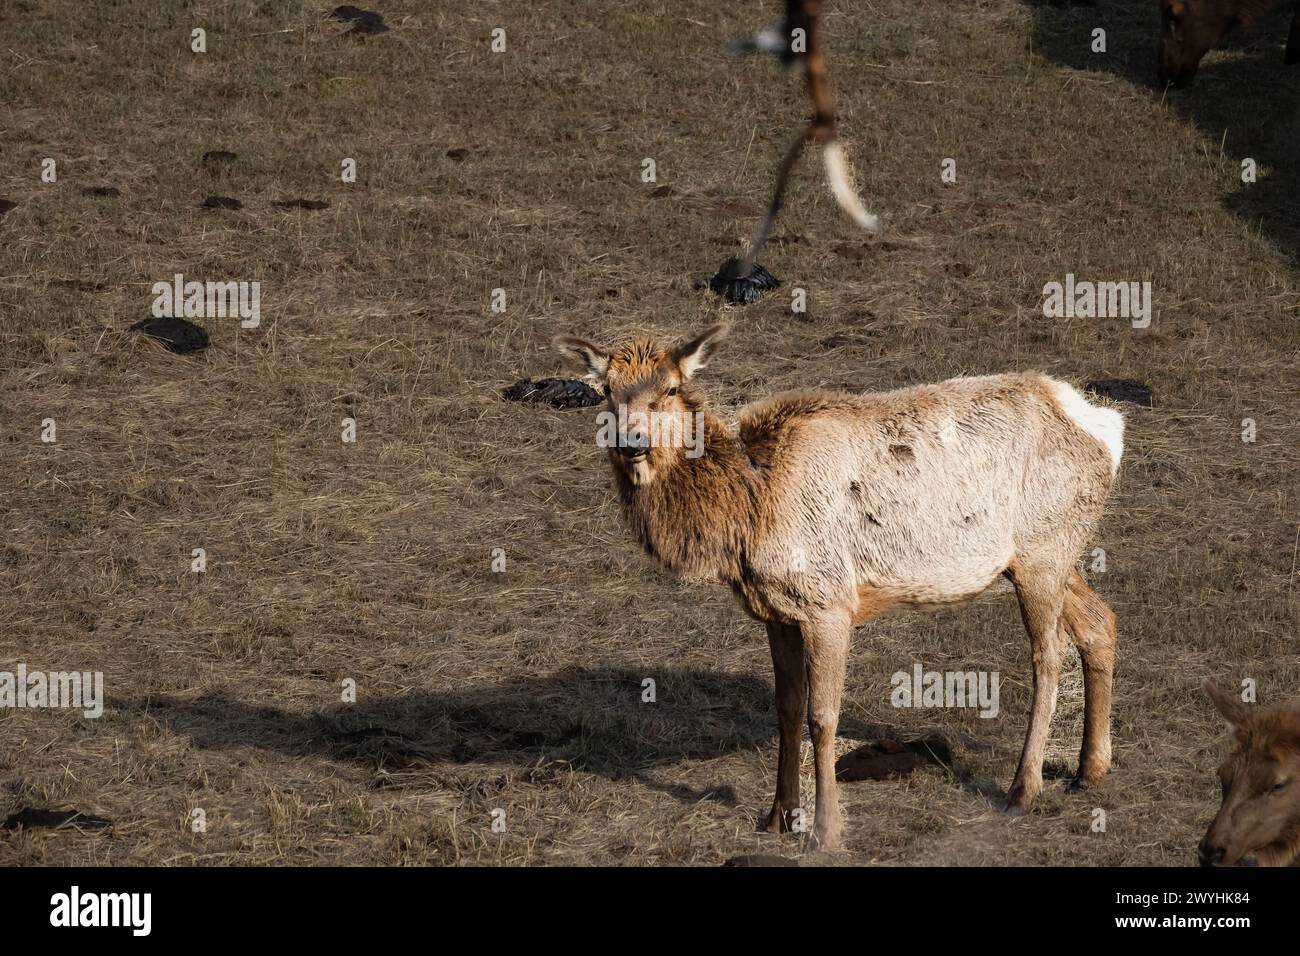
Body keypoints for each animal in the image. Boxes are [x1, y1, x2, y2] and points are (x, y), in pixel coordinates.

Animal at [553, 325, 1123, 848]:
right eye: (606, 389)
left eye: (671, 388)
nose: (632, 442)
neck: (747, 513)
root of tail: (1108, 429)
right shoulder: (776, 611)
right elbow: (786, 709)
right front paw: (777, 817)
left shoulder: (829, 602)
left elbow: (822, 717)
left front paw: (826, 831)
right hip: (1052, 555)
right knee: (1100, 621)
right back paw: (1089, 770)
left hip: (1043, 552)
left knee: (1048, 655)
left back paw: (1022, 790)